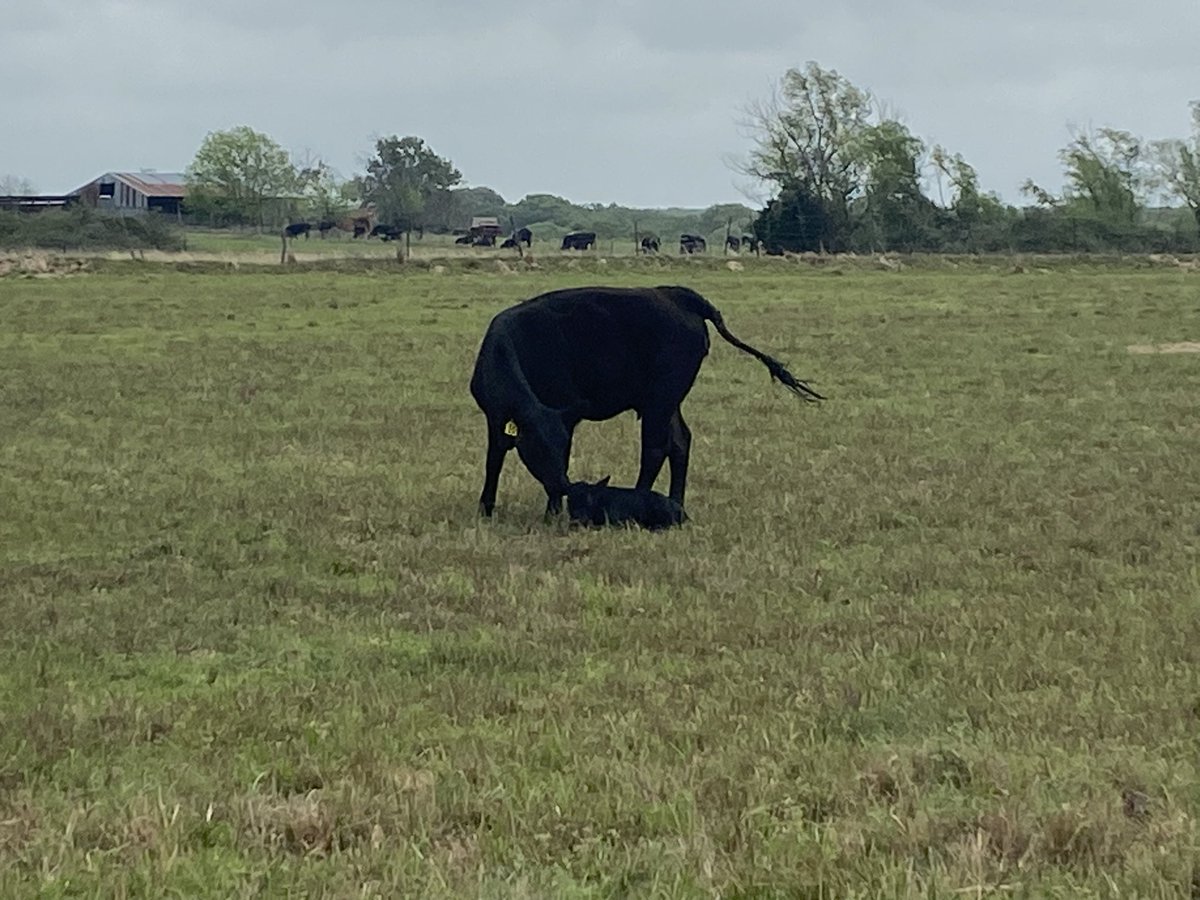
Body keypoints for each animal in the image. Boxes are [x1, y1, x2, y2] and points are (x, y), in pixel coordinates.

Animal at [469, 285, 824, 518]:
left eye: (563, 448)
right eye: (538, 448)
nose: (561, 486)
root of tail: (675, 295)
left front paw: (550, 513)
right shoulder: (495, 418)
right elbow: (493, 459)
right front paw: (486, 509)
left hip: (661, 399)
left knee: (655, 448)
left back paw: (640, 501)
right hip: (667, 399)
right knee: (680, 441)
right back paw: (676, 501)